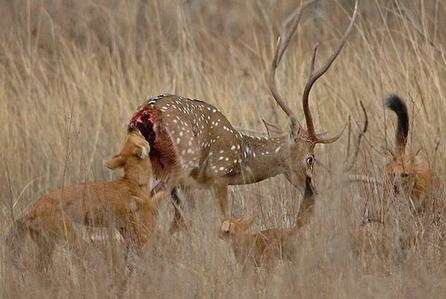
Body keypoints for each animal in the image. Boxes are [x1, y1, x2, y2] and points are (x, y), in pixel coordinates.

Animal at [4, 130, 166, 274]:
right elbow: (141, 241)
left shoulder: (122, 226)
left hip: (47, 245)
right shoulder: (133, 221)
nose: (133, 129)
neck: (133, 182)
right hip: (71, 239)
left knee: (39, 270)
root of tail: (32, 209)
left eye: (129, 140)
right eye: (135, 139)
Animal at [128, 0, 358, 233]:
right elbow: (224, 220)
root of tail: (145, 112)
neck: (242, 154)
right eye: (310, 158)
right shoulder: (218, 175)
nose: (313, 193)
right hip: (180, 161)